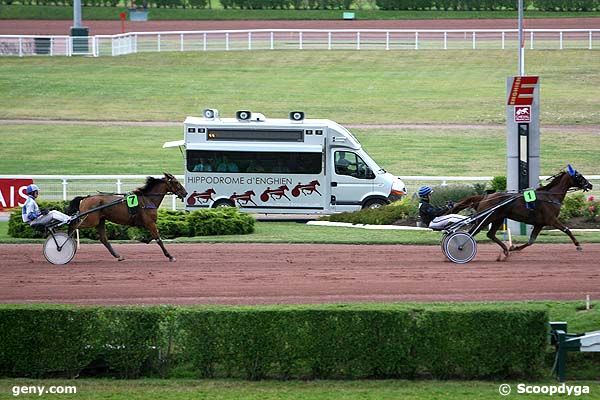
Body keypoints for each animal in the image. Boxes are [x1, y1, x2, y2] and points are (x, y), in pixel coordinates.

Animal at [450, 165, 592, 260]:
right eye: (579, 176)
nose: (590, 185)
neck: (550, 196)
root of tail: (485, 197)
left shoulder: (539, 224)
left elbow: (531, 241)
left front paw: (514, 248)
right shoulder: (551, 220)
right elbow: (567, 229)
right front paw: (578, 245)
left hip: (498, 218)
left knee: (490, 234)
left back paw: (506, 250)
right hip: (486, 218)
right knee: (471, 233)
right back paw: (459, 248)